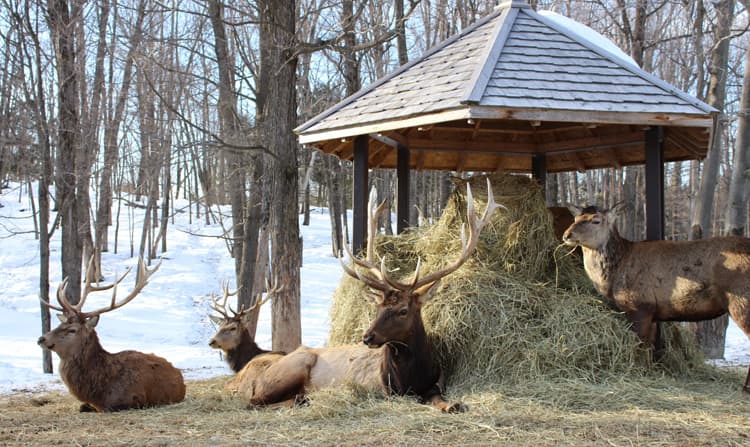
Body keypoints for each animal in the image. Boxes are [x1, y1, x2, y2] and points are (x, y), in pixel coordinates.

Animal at [38, 260, 188, 412]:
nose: (41, 338)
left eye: (72, 330)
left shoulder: (134, 398)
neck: (100, 389)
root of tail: (179, 374)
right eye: (59, 324)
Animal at [234, 178, 506, 412]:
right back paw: (301, 399)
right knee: (253, 402)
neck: (411, 376)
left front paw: (454, 405)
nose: (367, 336)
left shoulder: (434, 384)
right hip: (292, 368)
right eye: (379, 308)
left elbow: (440, 399)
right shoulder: (385, 391)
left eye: (403, 310)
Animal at [564, 204, 750, 392]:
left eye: (596, 220)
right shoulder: (652, 312)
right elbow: (650, 346)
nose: (567, 235)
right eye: (575, 218)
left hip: (741, 300)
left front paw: (637, 371)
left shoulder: (639, 306)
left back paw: (745, 388)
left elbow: (640, 344)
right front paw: (649, 371)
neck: (614, 275)